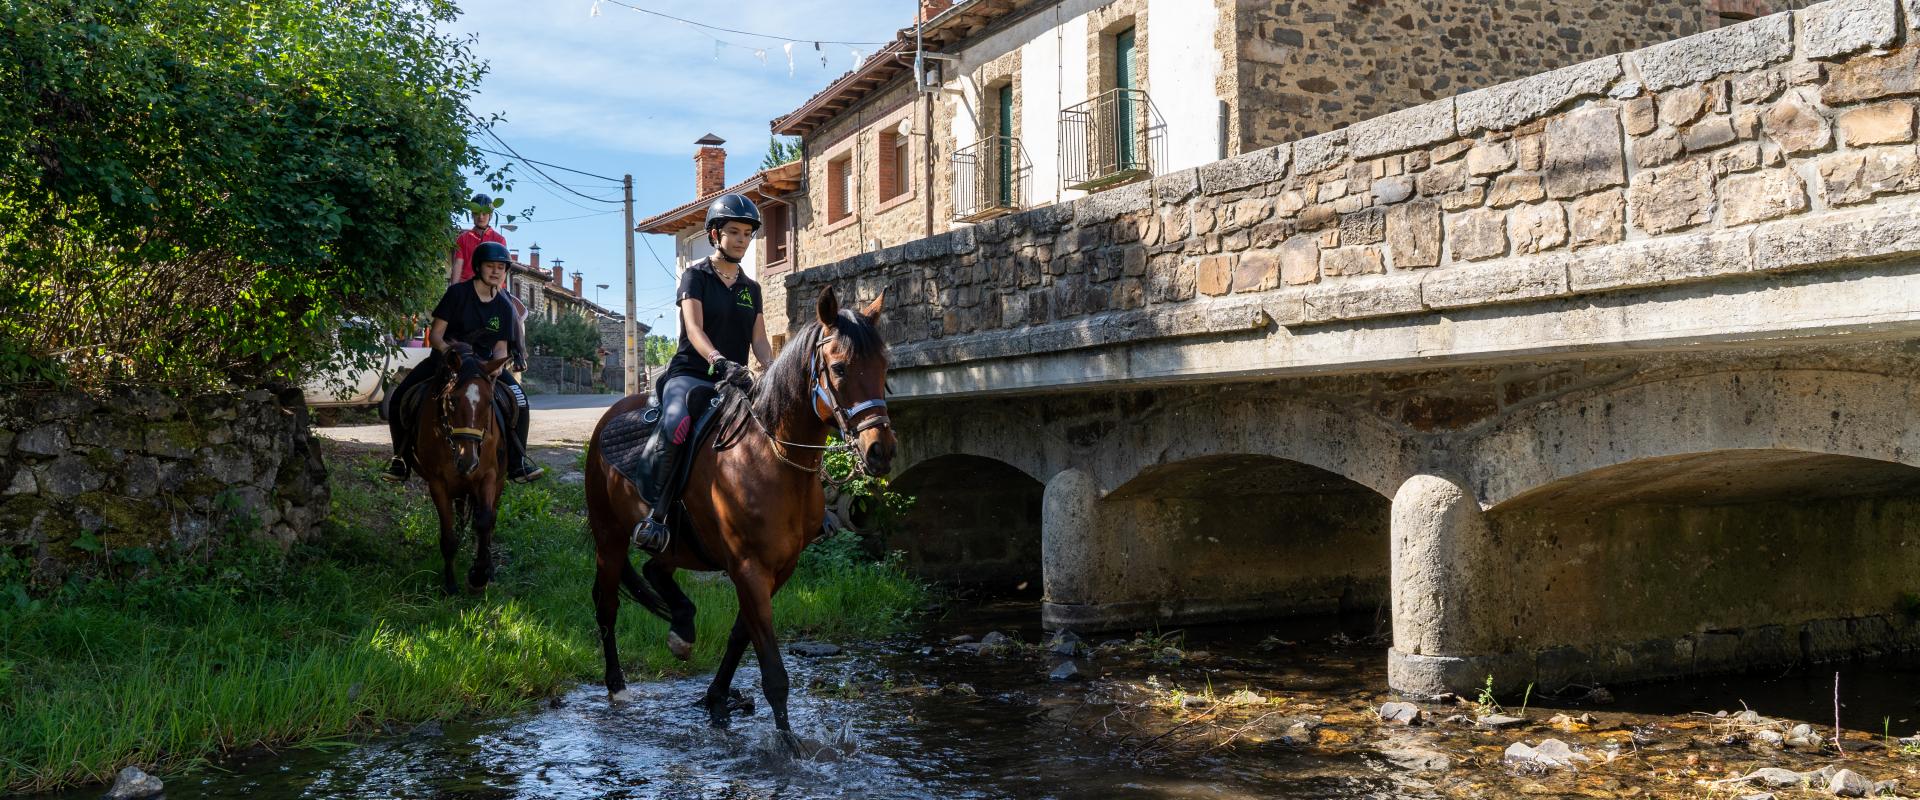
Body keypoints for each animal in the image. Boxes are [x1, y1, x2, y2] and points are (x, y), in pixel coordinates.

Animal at [412, 339, 514, 594]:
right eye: (452, 400)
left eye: (490, 402)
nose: (467, 460)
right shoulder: (437, 483)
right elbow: (448, 537)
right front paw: (450, 584)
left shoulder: (488, 476)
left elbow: (485, 521)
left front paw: (479, 575)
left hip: (496, 481)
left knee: (490, 518)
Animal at [579, 287, 894, 740]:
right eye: (838, 367)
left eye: (885, 366)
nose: (880, 452)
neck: (770, 457)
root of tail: (609, 416)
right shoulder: (748, 568)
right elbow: (773, 671)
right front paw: (788, 746)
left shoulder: (779, 568)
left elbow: (739, 636)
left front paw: (716, 700)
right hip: (609, 537)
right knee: (606, 606)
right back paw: (617, 686)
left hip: (680, 544)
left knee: (656, 570)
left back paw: (683, 628)